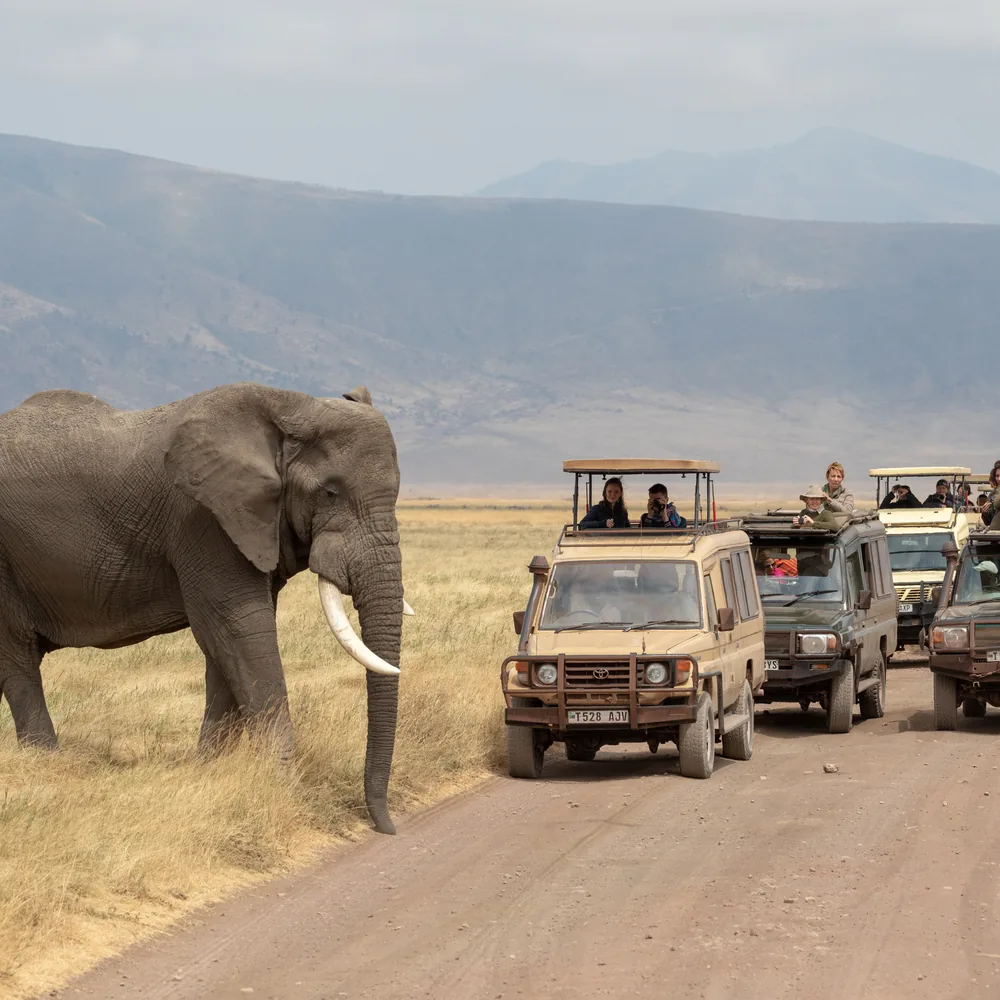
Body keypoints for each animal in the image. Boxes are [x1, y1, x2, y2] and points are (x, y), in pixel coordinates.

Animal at [0, 382, 406, 834]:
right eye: (331, 492)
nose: (386, 827)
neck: (292, 406)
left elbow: (227, 646)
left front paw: (212, 771)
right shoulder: (202, 519)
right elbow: (240, 628)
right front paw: (280, 784)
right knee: (17, 660)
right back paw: (45, 763)